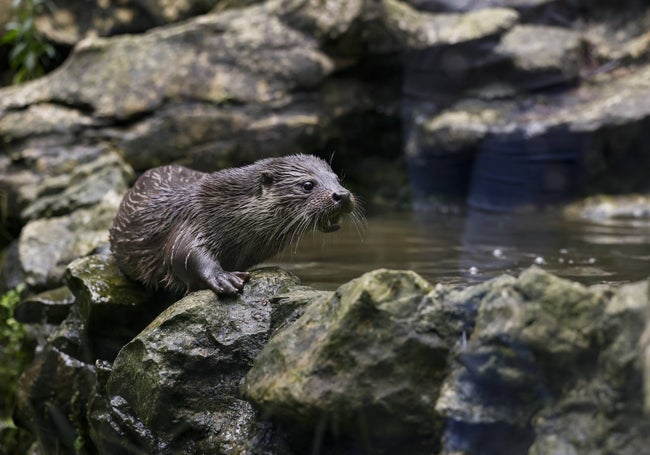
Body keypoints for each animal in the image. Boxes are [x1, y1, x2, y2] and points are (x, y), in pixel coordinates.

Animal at [109, 154, 356, 296]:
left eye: (338, 179)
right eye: (307, 185)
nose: (342, 195)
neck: (227, 208)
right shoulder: (194, 218)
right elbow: (182, 253)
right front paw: (222, 277)